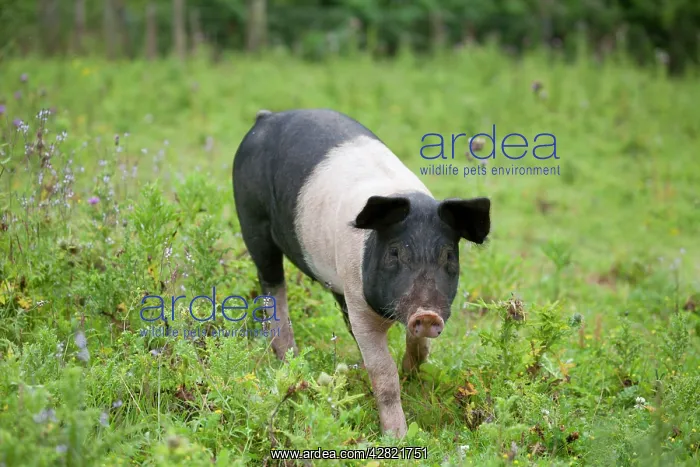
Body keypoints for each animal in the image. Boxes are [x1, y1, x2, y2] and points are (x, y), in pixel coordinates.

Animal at [232, 108, 490, 437]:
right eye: (394, 252)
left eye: (447, 255)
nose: (427, 314)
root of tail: (266, 117)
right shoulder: (358, 303)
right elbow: (384, 374)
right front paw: (397, 436)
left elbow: (419, 349)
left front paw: (411, 371)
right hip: (252, 220)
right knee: (272, 285)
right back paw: (290, 358)